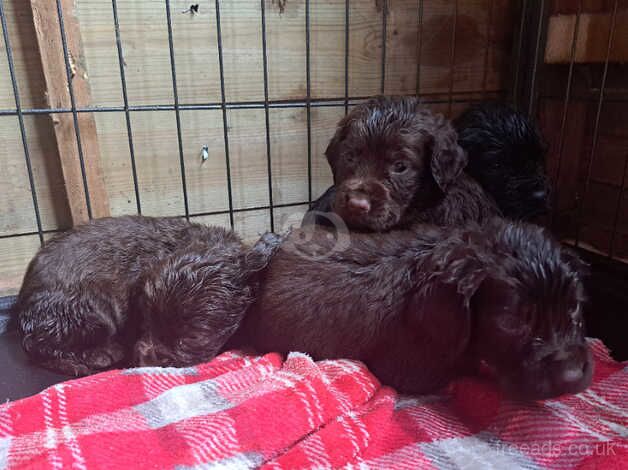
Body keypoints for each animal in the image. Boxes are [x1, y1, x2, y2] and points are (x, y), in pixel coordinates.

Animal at [12, 216, 276, 374]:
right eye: (146, 320)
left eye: (193, 338)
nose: (143, 362)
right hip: (90, 314)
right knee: (38, 346)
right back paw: (98, 356)